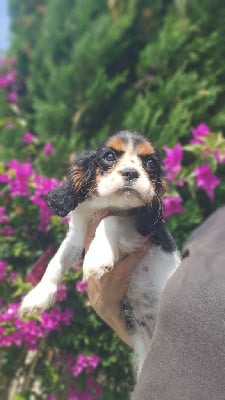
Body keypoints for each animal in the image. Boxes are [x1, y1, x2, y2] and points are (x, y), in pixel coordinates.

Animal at [19, 133, 181, 374]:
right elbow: (56, 261)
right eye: (109, 156)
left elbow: (111, 219)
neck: (107, 203)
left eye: (151, 164)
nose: (131, 173)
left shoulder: (143, 229)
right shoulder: (77, 237)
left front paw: (97, 260)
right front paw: (37, 297)